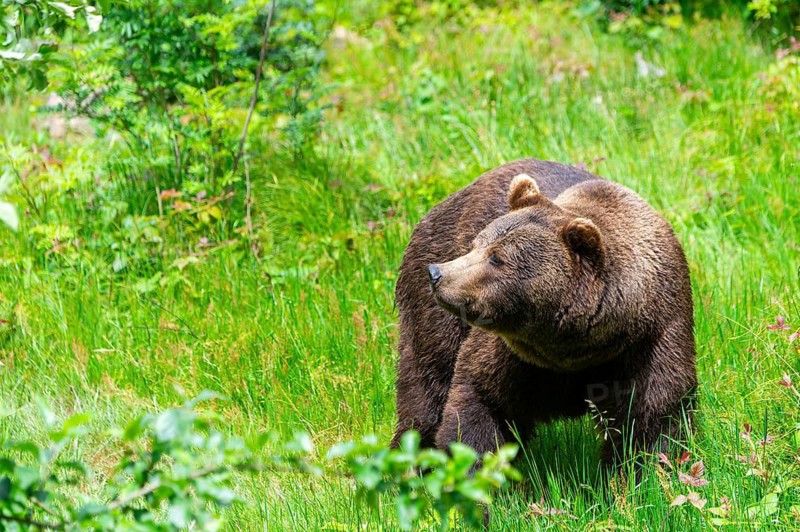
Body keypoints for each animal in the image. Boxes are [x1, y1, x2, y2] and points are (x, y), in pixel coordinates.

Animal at [392, 159, 696, 465]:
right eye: (477, 244)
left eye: (497, 258)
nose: (437, 273)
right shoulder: (515, 355)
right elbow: (477, 400)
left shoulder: (649, 341)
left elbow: (651, 419)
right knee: (427, 385)